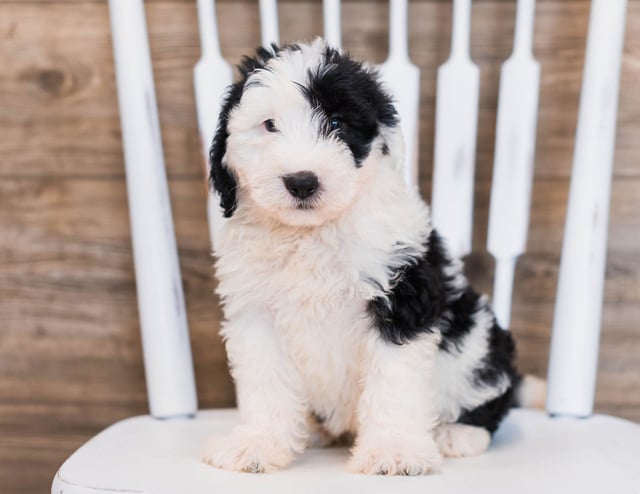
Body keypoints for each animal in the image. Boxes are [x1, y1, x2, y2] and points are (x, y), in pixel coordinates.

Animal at [204, 39, 520, 474]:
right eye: (269, 125)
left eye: (337, 123)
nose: (301, 181)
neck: (312, 233)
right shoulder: (256, 312)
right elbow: (265, 382)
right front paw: (258, 444)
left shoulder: (402, 298)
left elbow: (393, 381)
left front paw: (394, 450)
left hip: (477, 346)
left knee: (491, 392)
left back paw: (456, 434)